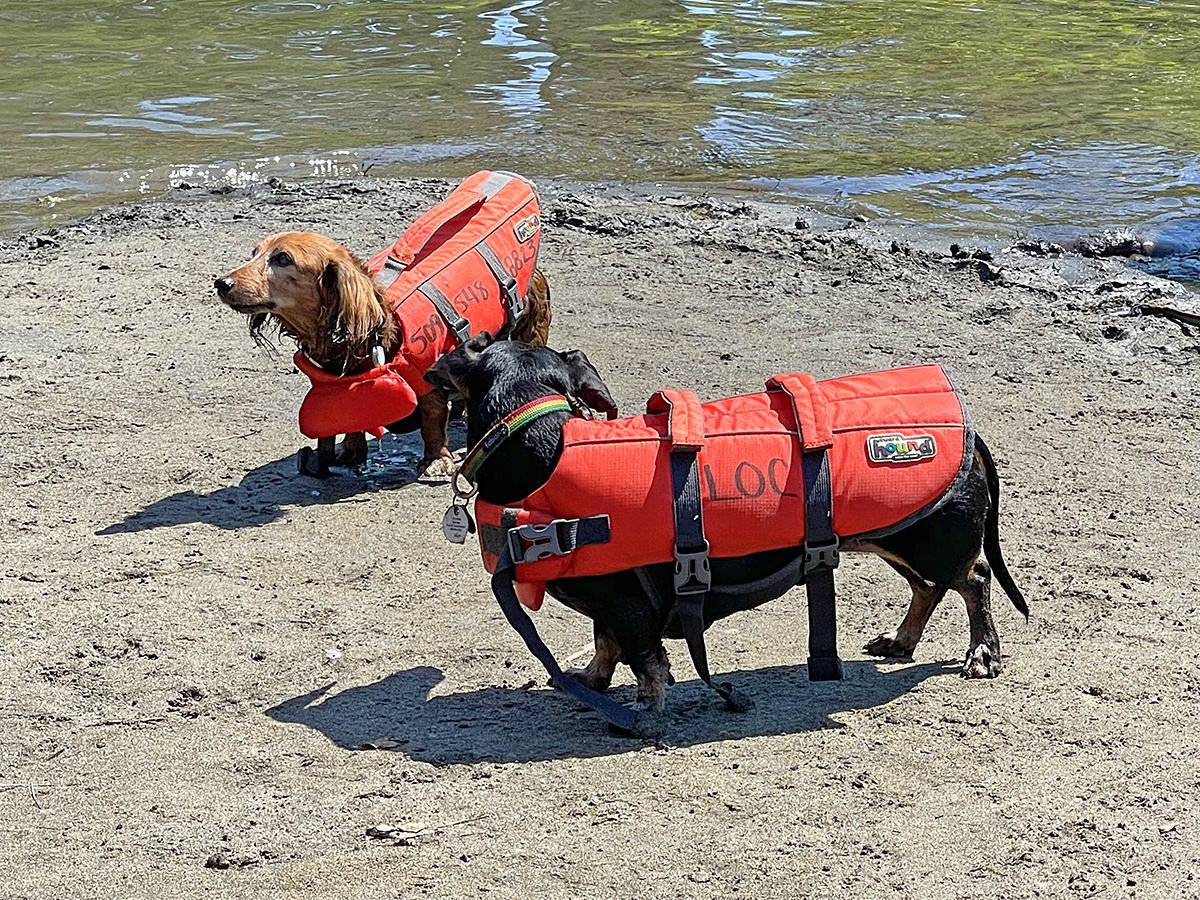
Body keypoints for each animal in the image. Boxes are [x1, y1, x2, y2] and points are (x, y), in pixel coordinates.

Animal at [217, 230, 552, 472]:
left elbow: (432, 421)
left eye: (283, 258)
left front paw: (435, 460)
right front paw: (350, 450)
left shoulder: (426, 380)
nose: (221, 283)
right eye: (254, 253)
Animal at [432, 338, 1032, 724]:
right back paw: (901, 641)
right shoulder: (611, 598)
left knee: (974, 581)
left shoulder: (627, 600)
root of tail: (971, 433)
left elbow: (645, 658)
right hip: (901, 540)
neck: (543, 443)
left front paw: (645, 709)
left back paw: (983, 652)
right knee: (928, 590)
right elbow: (605, 644)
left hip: (932, 541)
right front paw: (593, 680)